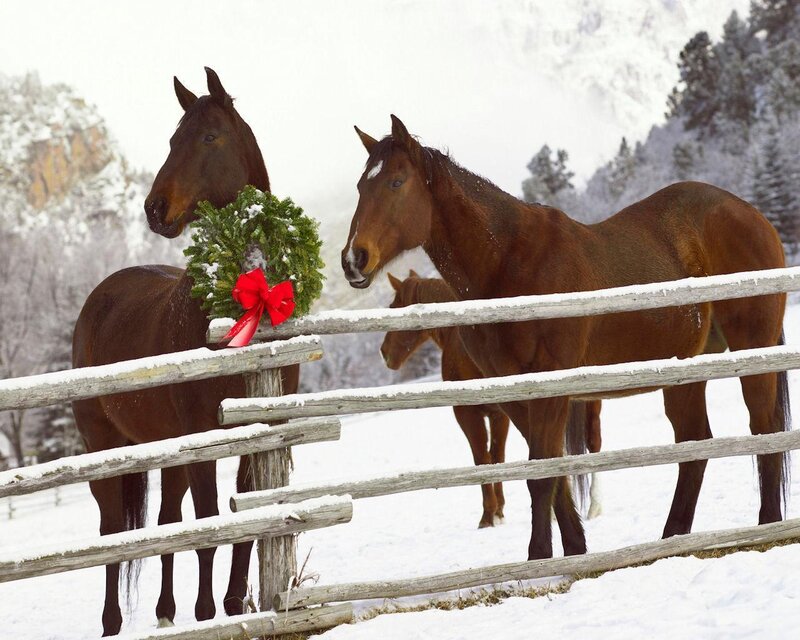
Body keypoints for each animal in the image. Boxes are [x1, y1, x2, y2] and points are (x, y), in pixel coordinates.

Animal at [72, 68, 298, 636]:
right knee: (114, 531)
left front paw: (233, 605)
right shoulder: (202, 438)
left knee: (167, 521)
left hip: (169, 448)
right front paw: (206, 612)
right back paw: (114, 621)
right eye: (173, 140)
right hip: (105, 447)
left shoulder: (255, 436)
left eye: (209, 137)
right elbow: (208, 526)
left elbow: (240, 522)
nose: (155, 210)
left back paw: (166, 611)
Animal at [380, 271, 603, 527]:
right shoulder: (500, 414)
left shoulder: (468, 414)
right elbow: (497, 457)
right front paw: (499, 510)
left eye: (393, 307)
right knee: (592, 443)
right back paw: (589, 506)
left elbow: (483, 459)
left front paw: (488, 515)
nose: (384, 352)